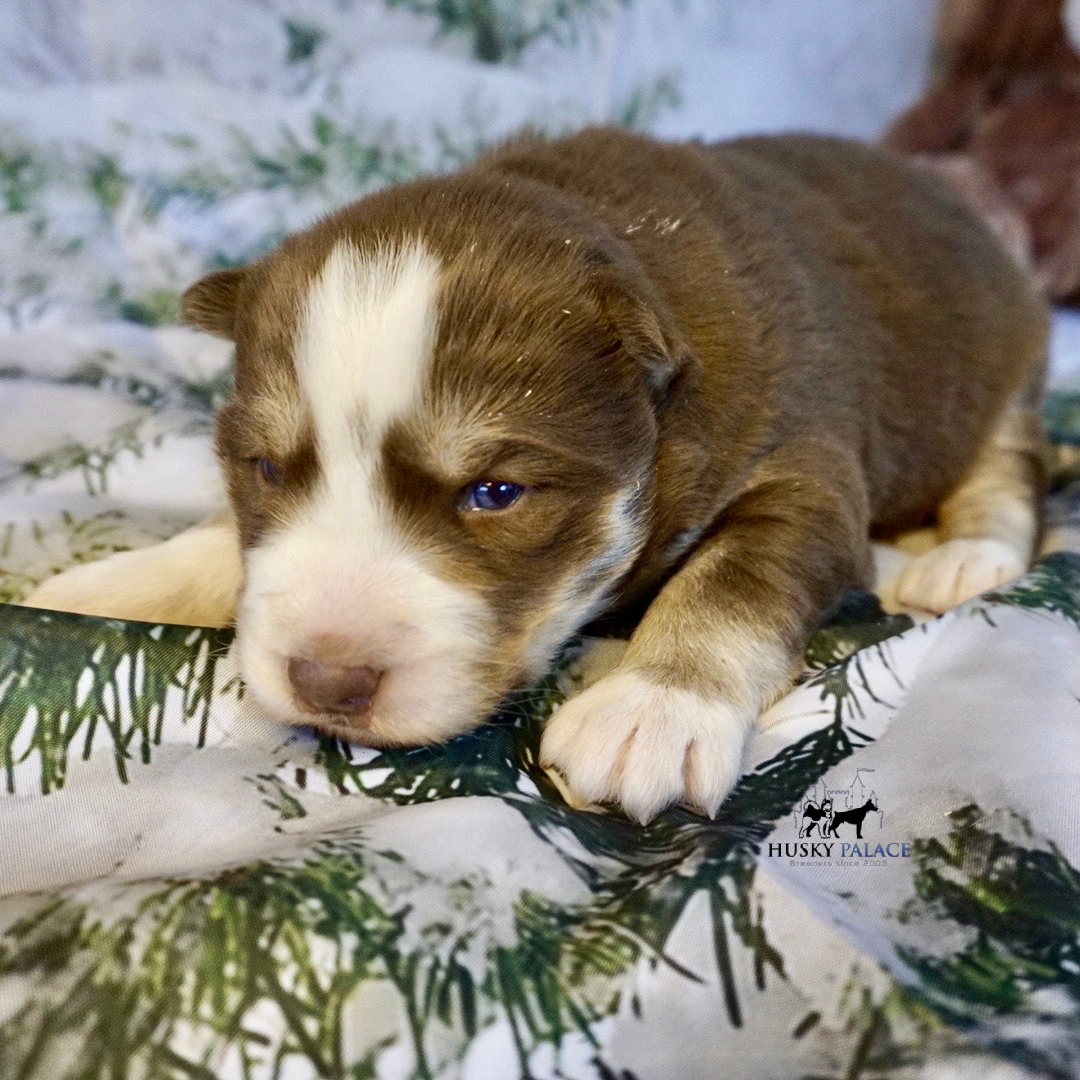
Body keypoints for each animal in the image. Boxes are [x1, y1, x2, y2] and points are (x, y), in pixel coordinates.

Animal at [25, 128, 1049, 816]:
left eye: (496, 494)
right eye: (267, 467)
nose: (326, 682)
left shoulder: (803, 463)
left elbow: (738, 576)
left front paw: (653, 708)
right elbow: (220, 543)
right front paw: (109, 583)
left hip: (1007, 366)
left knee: (1007, 481)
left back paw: (961, 559)